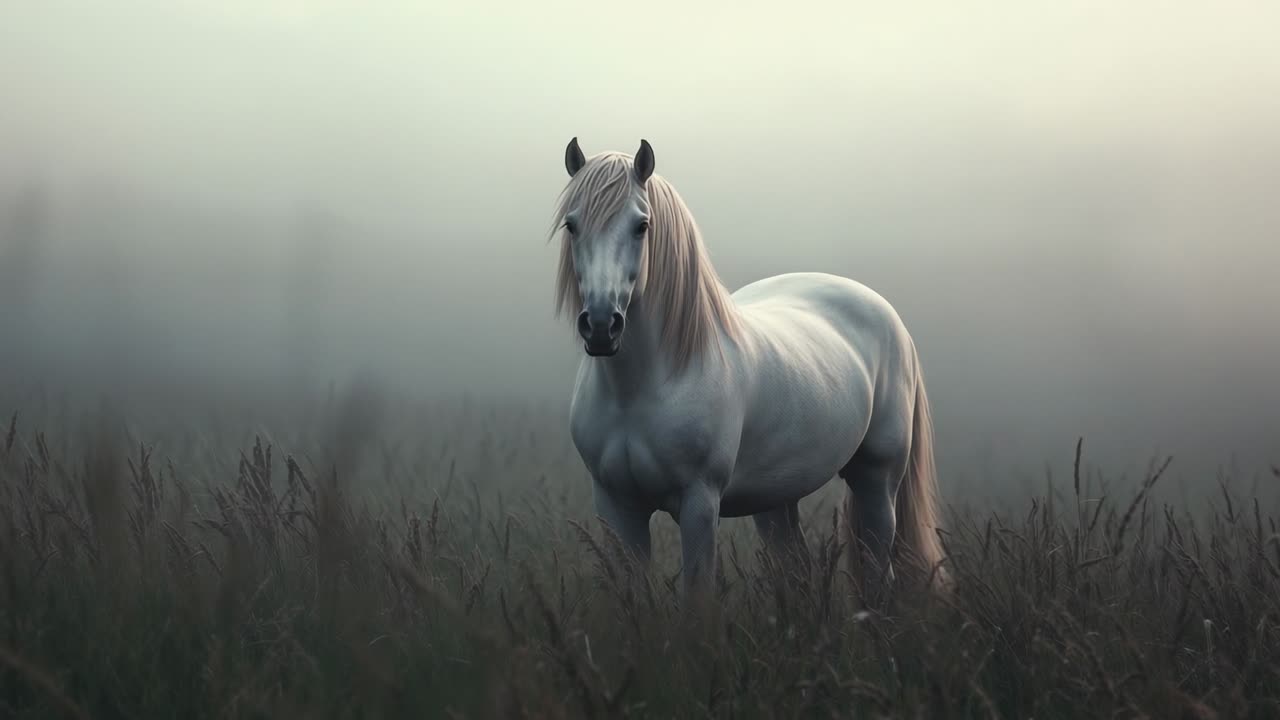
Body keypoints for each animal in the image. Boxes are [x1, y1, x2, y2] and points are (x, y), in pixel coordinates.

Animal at [551, 137, 948, 605]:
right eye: (572, 225)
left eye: (641, 226)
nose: (600, 325)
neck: (641, 388)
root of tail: (887, 314)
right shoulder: (617, 507)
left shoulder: (699, 504)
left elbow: (698, 597)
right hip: (776, 498)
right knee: (798, 567)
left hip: (877, 479)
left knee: (878, 572)